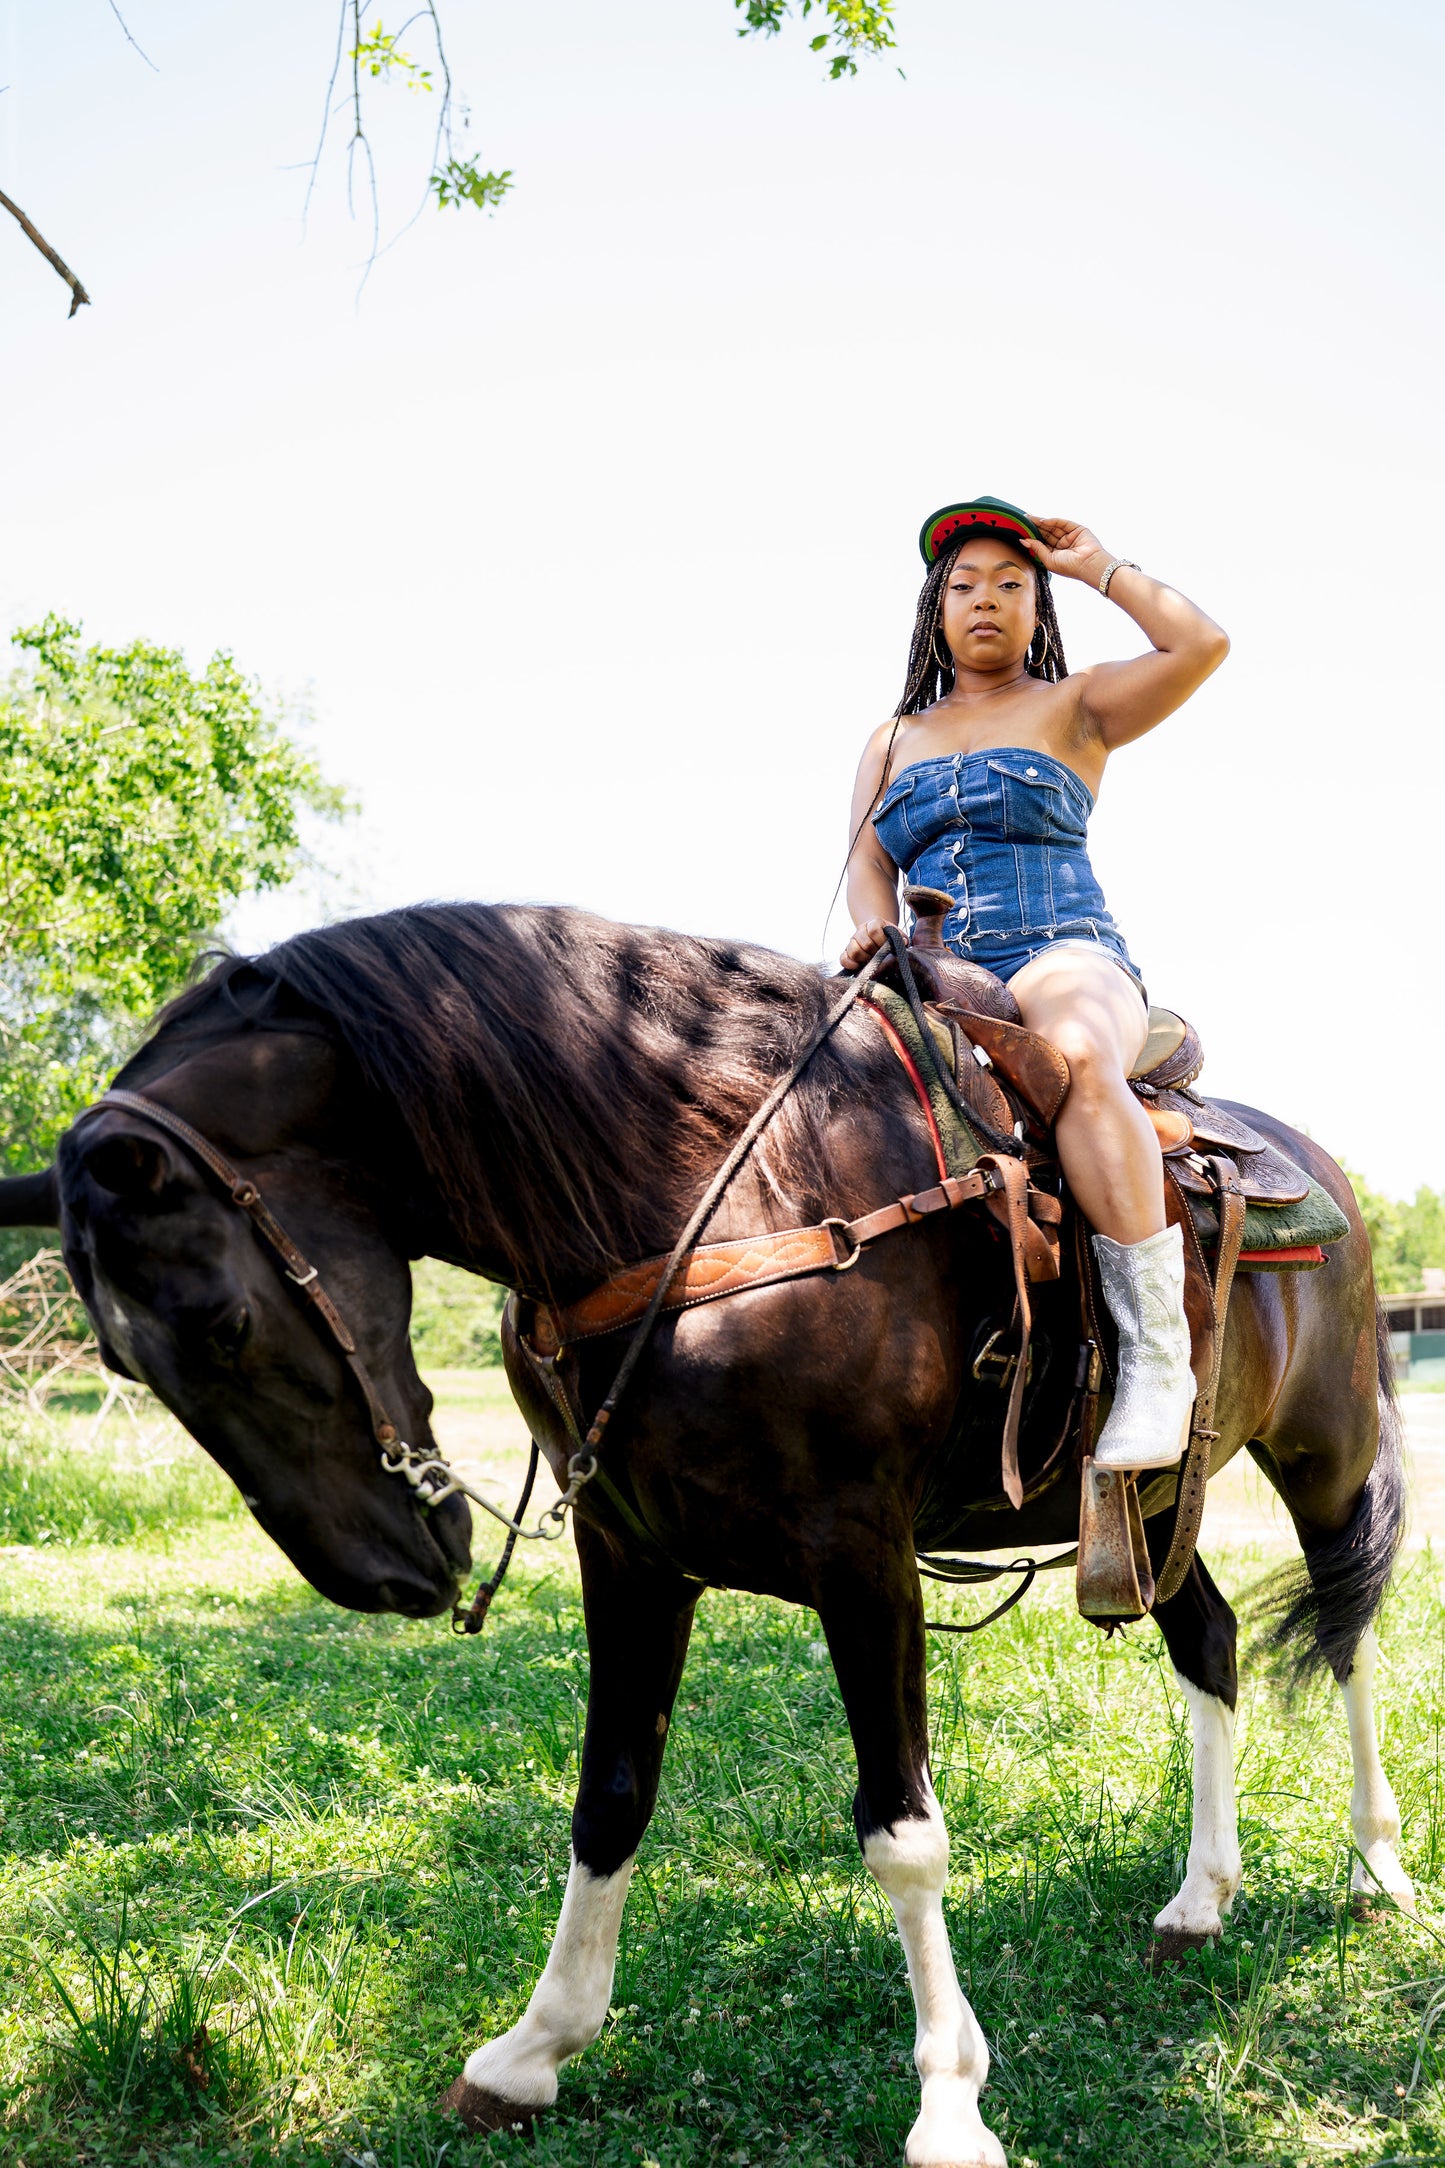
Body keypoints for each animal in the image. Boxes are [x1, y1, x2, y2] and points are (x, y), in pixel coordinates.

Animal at [0, 906, 1403, 2159]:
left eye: (225, 1323)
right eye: (127, 1360)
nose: (390, 1572)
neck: (716, 1187)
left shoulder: (862, 1554)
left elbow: (901, 1831)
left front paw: (949, 2102)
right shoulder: (627, 1554)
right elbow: (610, 1794)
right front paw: (533, 2048)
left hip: (1320, 1450)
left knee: (1344, 1625)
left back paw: (1376, 1864)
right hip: (1146, 1505)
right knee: (1209, 1639)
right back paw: (1199, 1899)